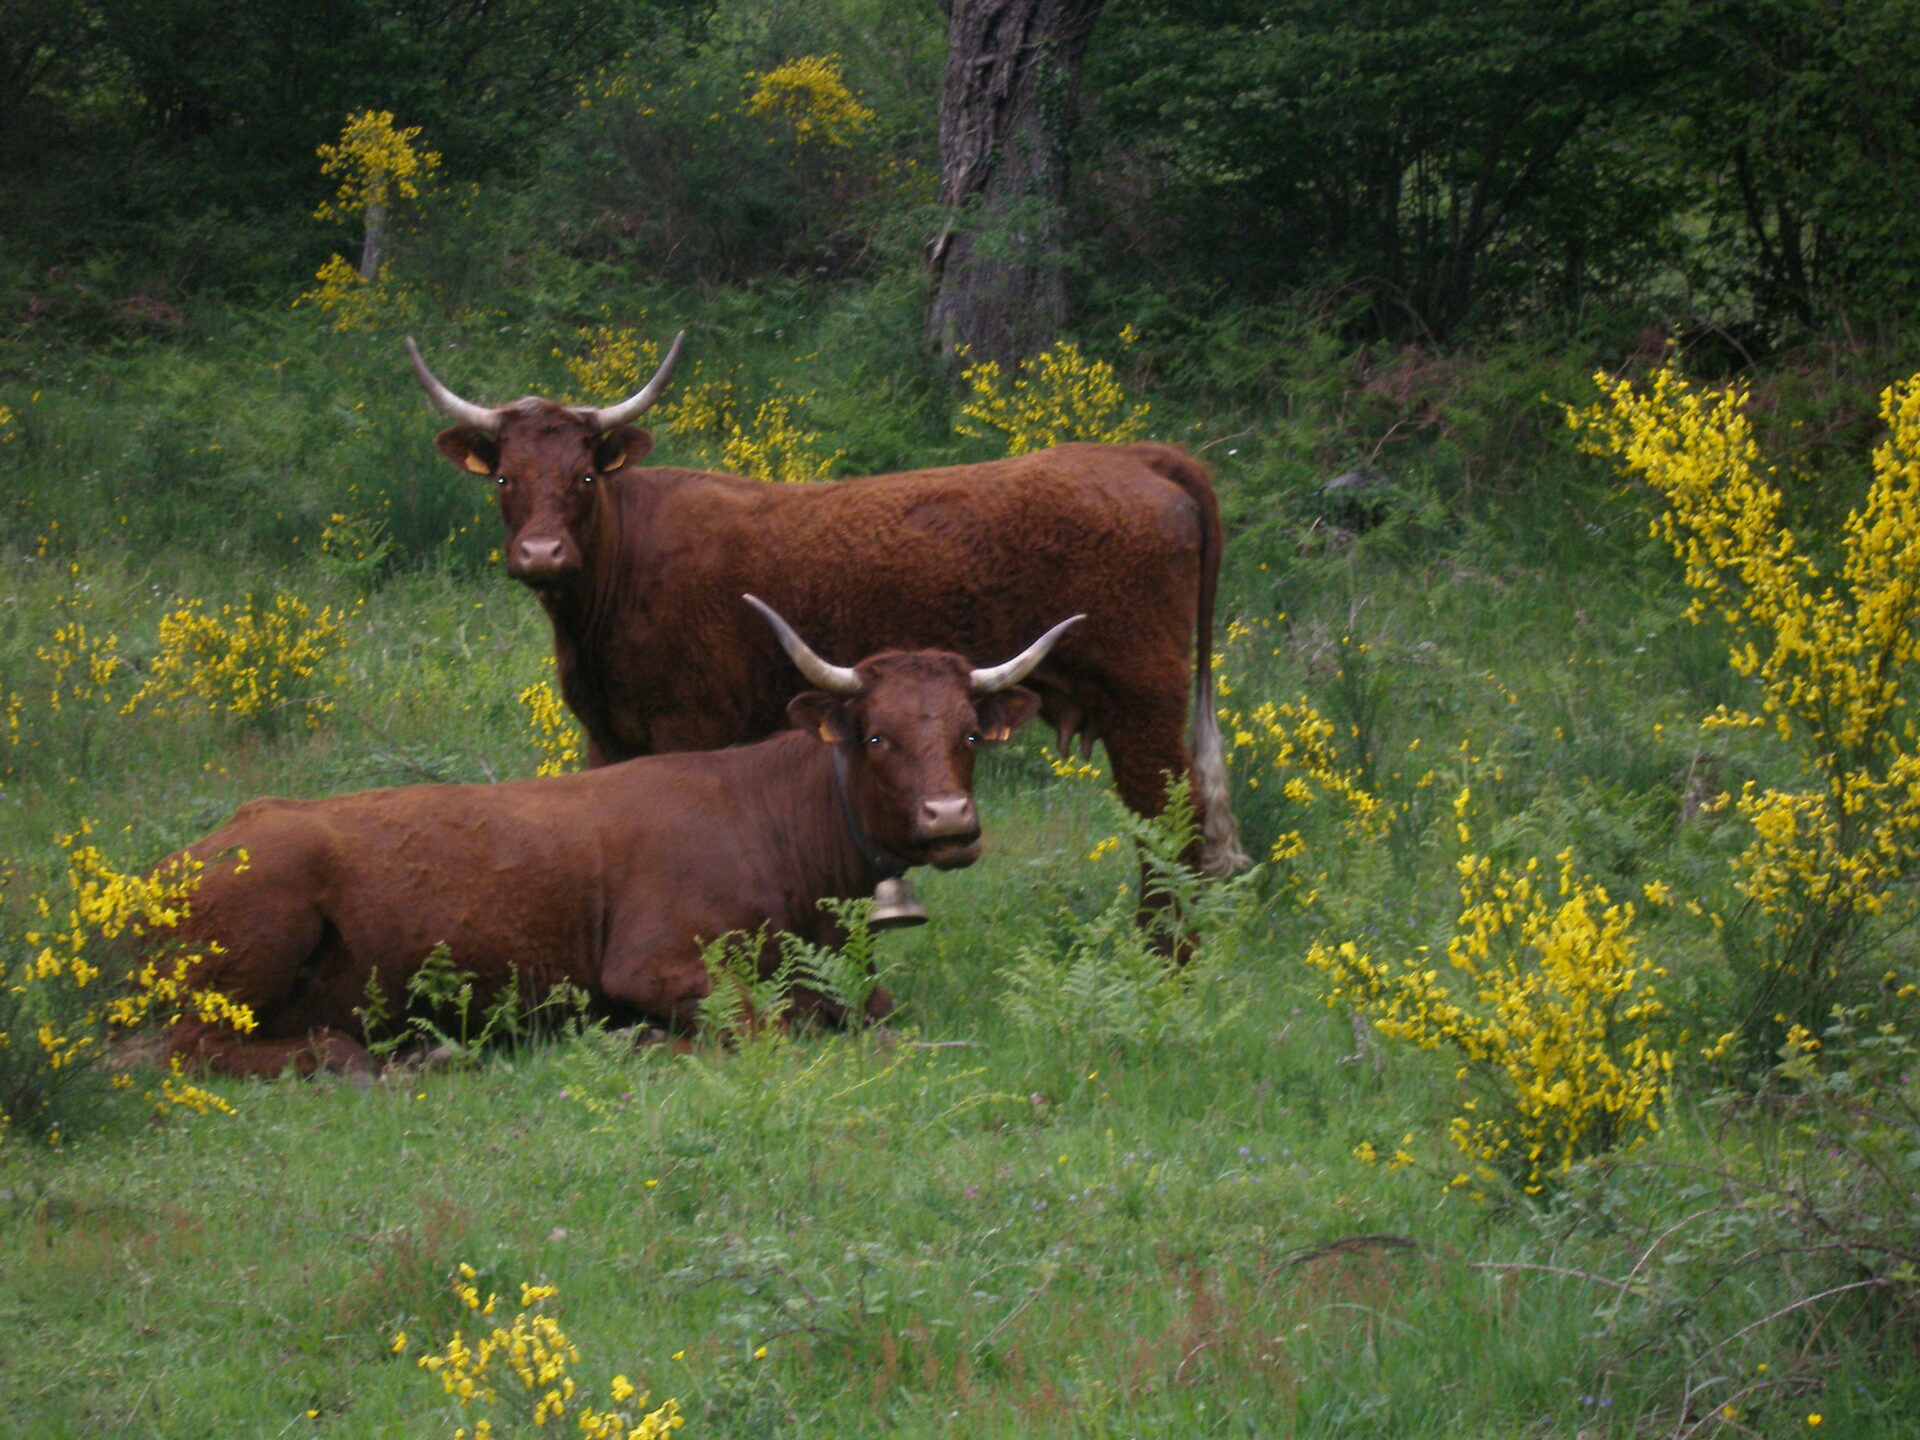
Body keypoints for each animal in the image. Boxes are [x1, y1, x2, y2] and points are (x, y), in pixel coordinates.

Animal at [154, 599, 1078, 1078]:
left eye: (967, 733)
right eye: (878, 737)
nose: (950, 820)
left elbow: (869, 1009)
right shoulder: (649, 962)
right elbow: (763, 1023)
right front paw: (641, 1040)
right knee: (195, 1045)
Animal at [406, 332, 1249, 905]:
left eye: (583, 475)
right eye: (506, 478)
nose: (541, 554)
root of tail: (1141, 455)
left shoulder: (689, 728)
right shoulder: (605, 737)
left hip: (1143, 708)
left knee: (1175, 834)